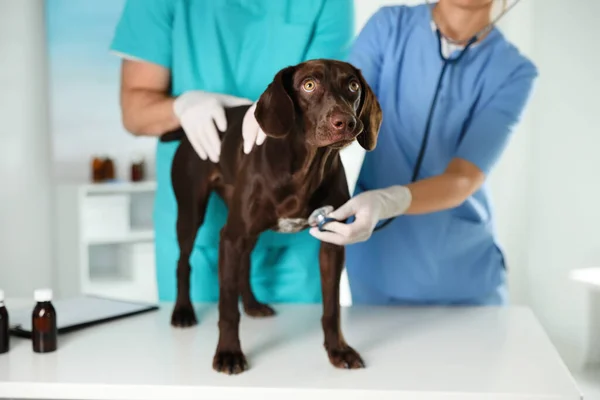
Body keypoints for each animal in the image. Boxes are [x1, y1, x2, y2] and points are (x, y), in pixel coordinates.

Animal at [165, 57, 380, 374]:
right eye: (308, 85)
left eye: (353, 86)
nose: (346, 122)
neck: (304, 170)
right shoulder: (231, 236)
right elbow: (227, 307)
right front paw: (228, 353)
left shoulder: (331, 243)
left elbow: (332, 308)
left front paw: (337, 349)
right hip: (193, 215)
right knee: (183, 262)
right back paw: (182, 311)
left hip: (245, 232)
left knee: (243, 265)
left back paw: (252, 304)